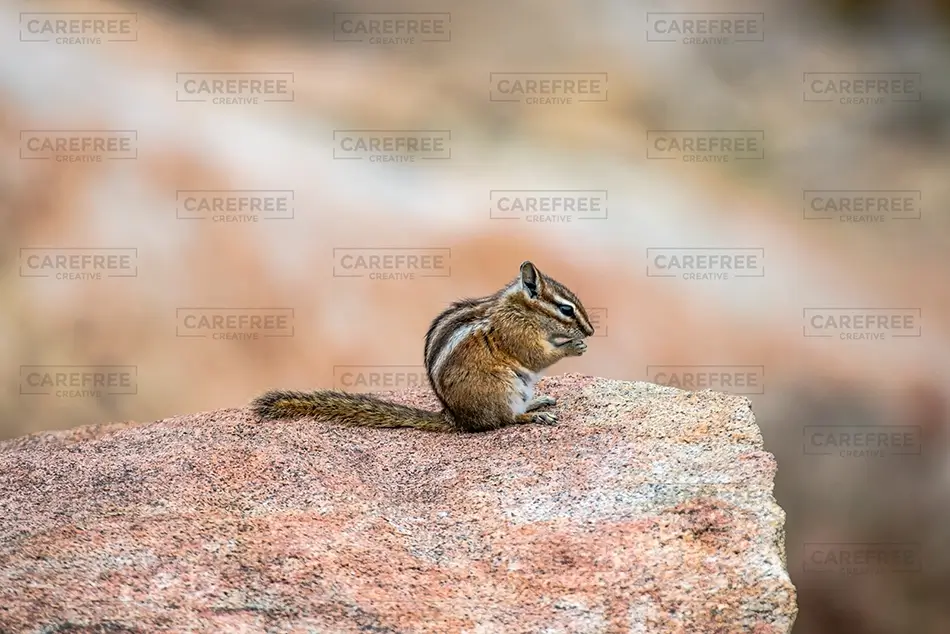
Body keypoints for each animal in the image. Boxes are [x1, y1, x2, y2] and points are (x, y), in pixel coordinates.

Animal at [250, 260, 594, 432]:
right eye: (566, 309)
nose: (591, 331)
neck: (520, 309)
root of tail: (456, 418)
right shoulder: (516, 334)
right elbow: (535, 356)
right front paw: (572, 347)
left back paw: (538, 403)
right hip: (503, 388)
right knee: (503, 420)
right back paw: (533, 416)